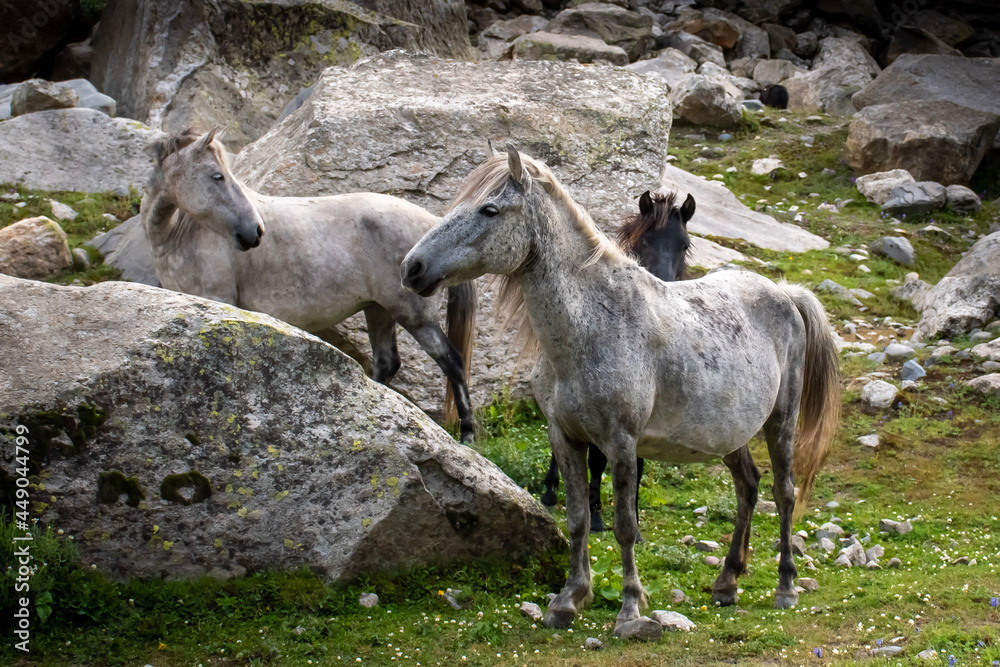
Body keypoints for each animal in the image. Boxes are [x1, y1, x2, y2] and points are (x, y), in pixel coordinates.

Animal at [144, 129, 480, 444]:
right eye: (218, 176)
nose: (255, 231)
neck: (178, 233)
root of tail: (431, 228)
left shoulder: (219, 301)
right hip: (379, 310)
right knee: (388, 362)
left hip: (414, 316)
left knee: (452, 362)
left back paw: (467, 433)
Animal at [544, 192, 692, 532]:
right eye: (645, 240)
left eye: (684, 244)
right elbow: (597, 460)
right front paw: (597, 515)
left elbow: (636, 462)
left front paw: (634, 520)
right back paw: (550, 489)